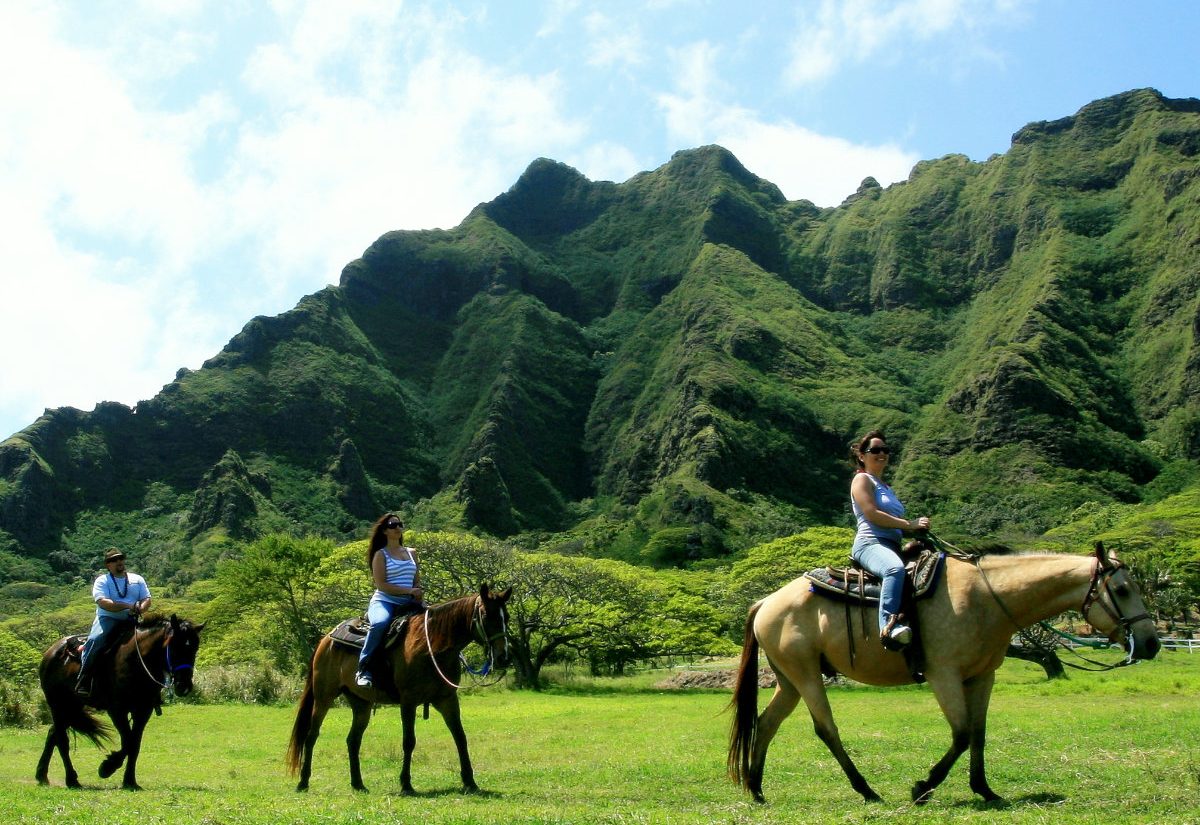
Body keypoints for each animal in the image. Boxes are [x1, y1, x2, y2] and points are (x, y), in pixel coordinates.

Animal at [34, 613, 204, 791]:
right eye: (175, 647)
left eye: (194, 648)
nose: (184, 686)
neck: (137, 660)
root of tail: (51, 652)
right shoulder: (117, 710)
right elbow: (128, 742)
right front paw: (107, 767)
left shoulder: (143, 710)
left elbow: (134, 744)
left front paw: (130, 781)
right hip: (57, 704)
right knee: (62, 740)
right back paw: (72, 780)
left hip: (72, 707)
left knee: (53, 733)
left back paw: (42, 775)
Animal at [290, 582, 516, 796]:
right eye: (486, 615)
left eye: (506, 617)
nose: (504, 657)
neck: (433, 646)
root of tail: (326, 639)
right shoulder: (408, 701)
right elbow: (409, 741)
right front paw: (406, 784)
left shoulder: (447, 699)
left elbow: (460, 737)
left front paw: (470, 781)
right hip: (323, 698)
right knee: (311, 736)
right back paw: (303, 782)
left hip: (361, 704)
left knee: (353, 741)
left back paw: (358, 784)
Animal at [724, 542, 1156, 805]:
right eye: (1121, 589)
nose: (1151, 643)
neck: (987, 597)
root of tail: (766, 601)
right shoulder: (943, 675)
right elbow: (961, 734)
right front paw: (923, 787)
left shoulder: (982, 677)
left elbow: (978, 733)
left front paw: (985, 790)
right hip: (806, 677)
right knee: (826, 729)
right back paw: (867, 791)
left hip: (790, 680)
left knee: (766, 723)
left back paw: (757, 789)